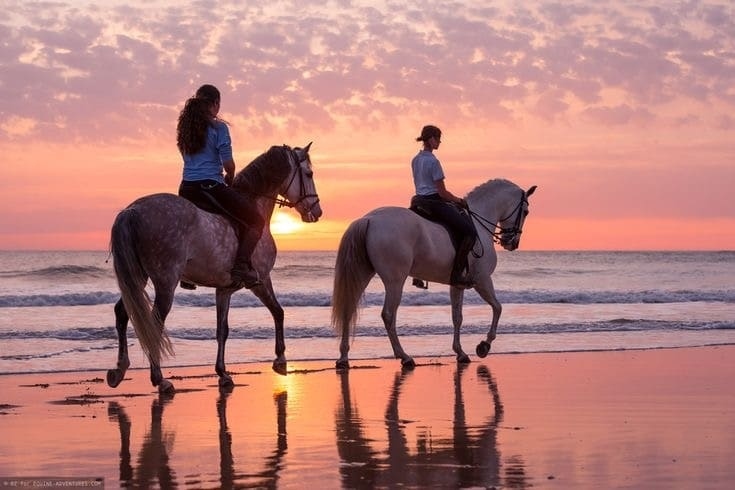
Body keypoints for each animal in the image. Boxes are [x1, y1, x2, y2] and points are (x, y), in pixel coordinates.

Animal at [107, 141, 322, 390]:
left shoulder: (224, 289)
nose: (317, 211)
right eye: (309, 173)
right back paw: (160, 379)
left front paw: (223, 373)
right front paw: (280, 360)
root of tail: (132, 211)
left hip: (137, 276)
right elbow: (278, 312)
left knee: (122, 312)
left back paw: (119, 370)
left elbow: (222, 330)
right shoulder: (260, 280)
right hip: (165, 281)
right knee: (155, 322)